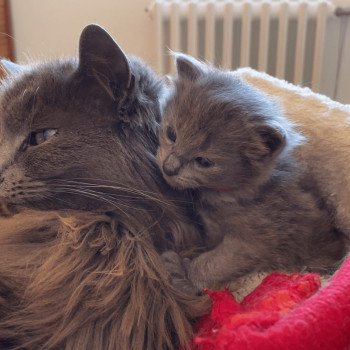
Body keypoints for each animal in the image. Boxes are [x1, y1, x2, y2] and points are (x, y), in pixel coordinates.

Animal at [158, 53, 348, 294]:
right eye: (171, 134)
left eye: (203, 161)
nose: (168, 167)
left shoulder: (257, 241)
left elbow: (213, 263)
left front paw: (184, 274)